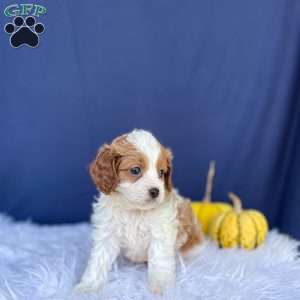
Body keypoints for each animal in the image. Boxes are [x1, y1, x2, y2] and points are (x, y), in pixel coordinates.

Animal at [75, 129, 204, 292]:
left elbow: (159, 262)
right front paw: (88, 286)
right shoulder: (107, 234)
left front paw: (161, 289)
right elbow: (98, 261)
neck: (134, 210)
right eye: (135, 170)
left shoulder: (160, 235)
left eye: (161, 173)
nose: (156, 191)